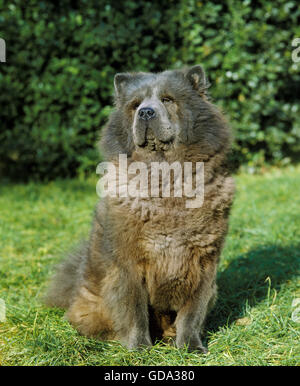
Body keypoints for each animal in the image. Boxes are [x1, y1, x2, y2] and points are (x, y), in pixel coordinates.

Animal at [45, 65, 236, 352]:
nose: (145, 112)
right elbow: (133, 309)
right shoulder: (128, 262)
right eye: (135, 105)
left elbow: (193, 313)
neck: (164, 178)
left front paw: (191, 347)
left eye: (167, 100)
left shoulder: (204, 262)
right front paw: (139, 349)